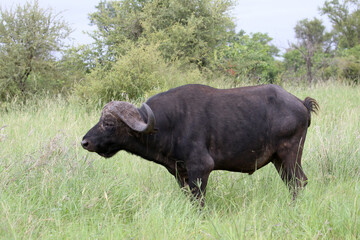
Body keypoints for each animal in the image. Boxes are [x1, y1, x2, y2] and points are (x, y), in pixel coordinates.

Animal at [81, 84, 318, 204]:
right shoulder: (180, 174)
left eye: (108, 123)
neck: (169, 123)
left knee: (299, 182)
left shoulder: (201, 169)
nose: (85, 142)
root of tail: (301, 104)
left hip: (290, 155)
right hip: (278, 160)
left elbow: (199, 200)